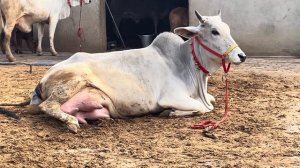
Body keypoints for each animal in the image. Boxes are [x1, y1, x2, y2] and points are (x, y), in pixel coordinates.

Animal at [25, 10, 247, 133]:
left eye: (227, 29)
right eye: (214, 31)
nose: (241, 56)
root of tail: (43, 79)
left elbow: (211, 102)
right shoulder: (171, 97)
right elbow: (203, 108)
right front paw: (170, 112)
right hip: (72, 82)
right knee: (48, 106)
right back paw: (71, 122)